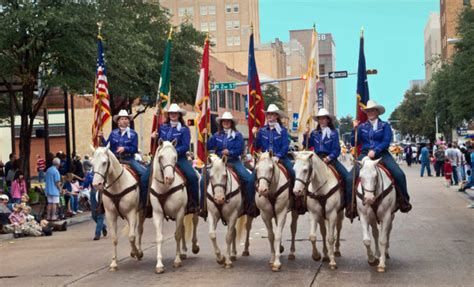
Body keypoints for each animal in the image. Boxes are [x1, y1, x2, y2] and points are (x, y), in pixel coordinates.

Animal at [149, 141, 199, 276]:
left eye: (175, 157)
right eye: (161, 157)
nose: (169, 178)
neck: (164, 188)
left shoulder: (179, 212)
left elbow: (177, 235)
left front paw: (176, 261)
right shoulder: (157, 214)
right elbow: (159, 237)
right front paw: (159, 265)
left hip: (192, 211)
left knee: (194, 224)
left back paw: (194, 246)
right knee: (182, 228)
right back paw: (183, 251)